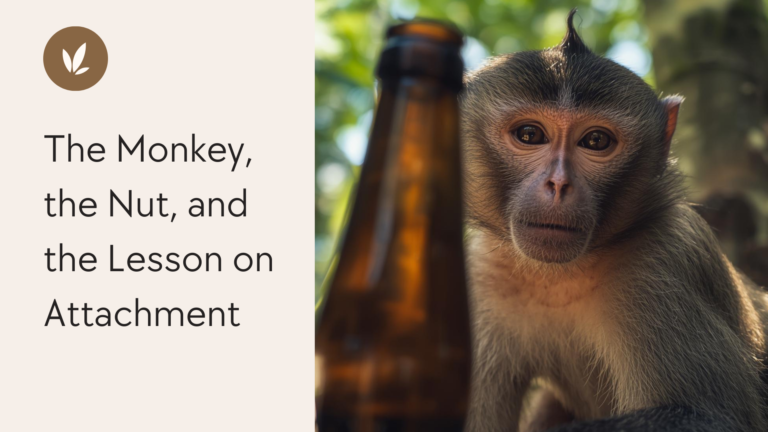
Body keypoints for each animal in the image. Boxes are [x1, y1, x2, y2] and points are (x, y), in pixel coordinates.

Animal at [459, 9, 768, 432]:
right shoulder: (479, 279)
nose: (559, 185)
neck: (558, 276)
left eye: (595, 142)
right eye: (530, 134)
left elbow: (710, 415)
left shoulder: (665, 261)